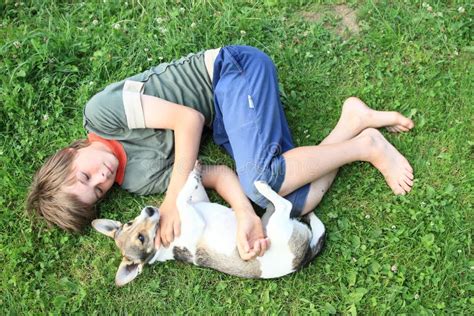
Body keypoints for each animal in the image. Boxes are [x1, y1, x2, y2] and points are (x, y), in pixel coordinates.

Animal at [91, 162, 326, 286]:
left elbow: (185, 192)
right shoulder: (195, 221)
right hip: (278, 226)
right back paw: (263, 186)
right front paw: (192, 177)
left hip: (268, 222)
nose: (149, 209)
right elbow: (180, 199)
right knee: (286, 205)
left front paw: (193, 174)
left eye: (130, 222)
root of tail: (302, 258)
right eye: (141, 238)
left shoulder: (198, 200)